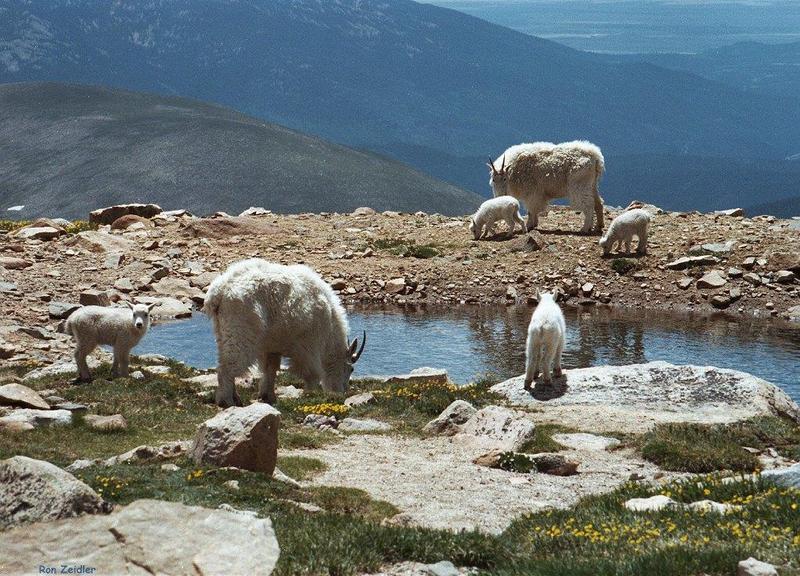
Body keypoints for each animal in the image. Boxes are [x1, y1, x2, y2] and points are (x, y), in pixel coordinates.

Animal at [203, 258, 366, 408]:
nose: (341, 392)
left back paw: (235, 398)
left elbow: (271, 369)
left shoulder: (272, 346)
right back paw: (226, 401)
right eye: (350, 368)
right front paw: (311, 394)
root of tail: (219, 292)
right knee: (227, 367)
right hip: (241, 332)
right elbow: (311, 373)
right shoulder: (309, 344)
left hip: (222, 332)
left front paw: (268, 396)